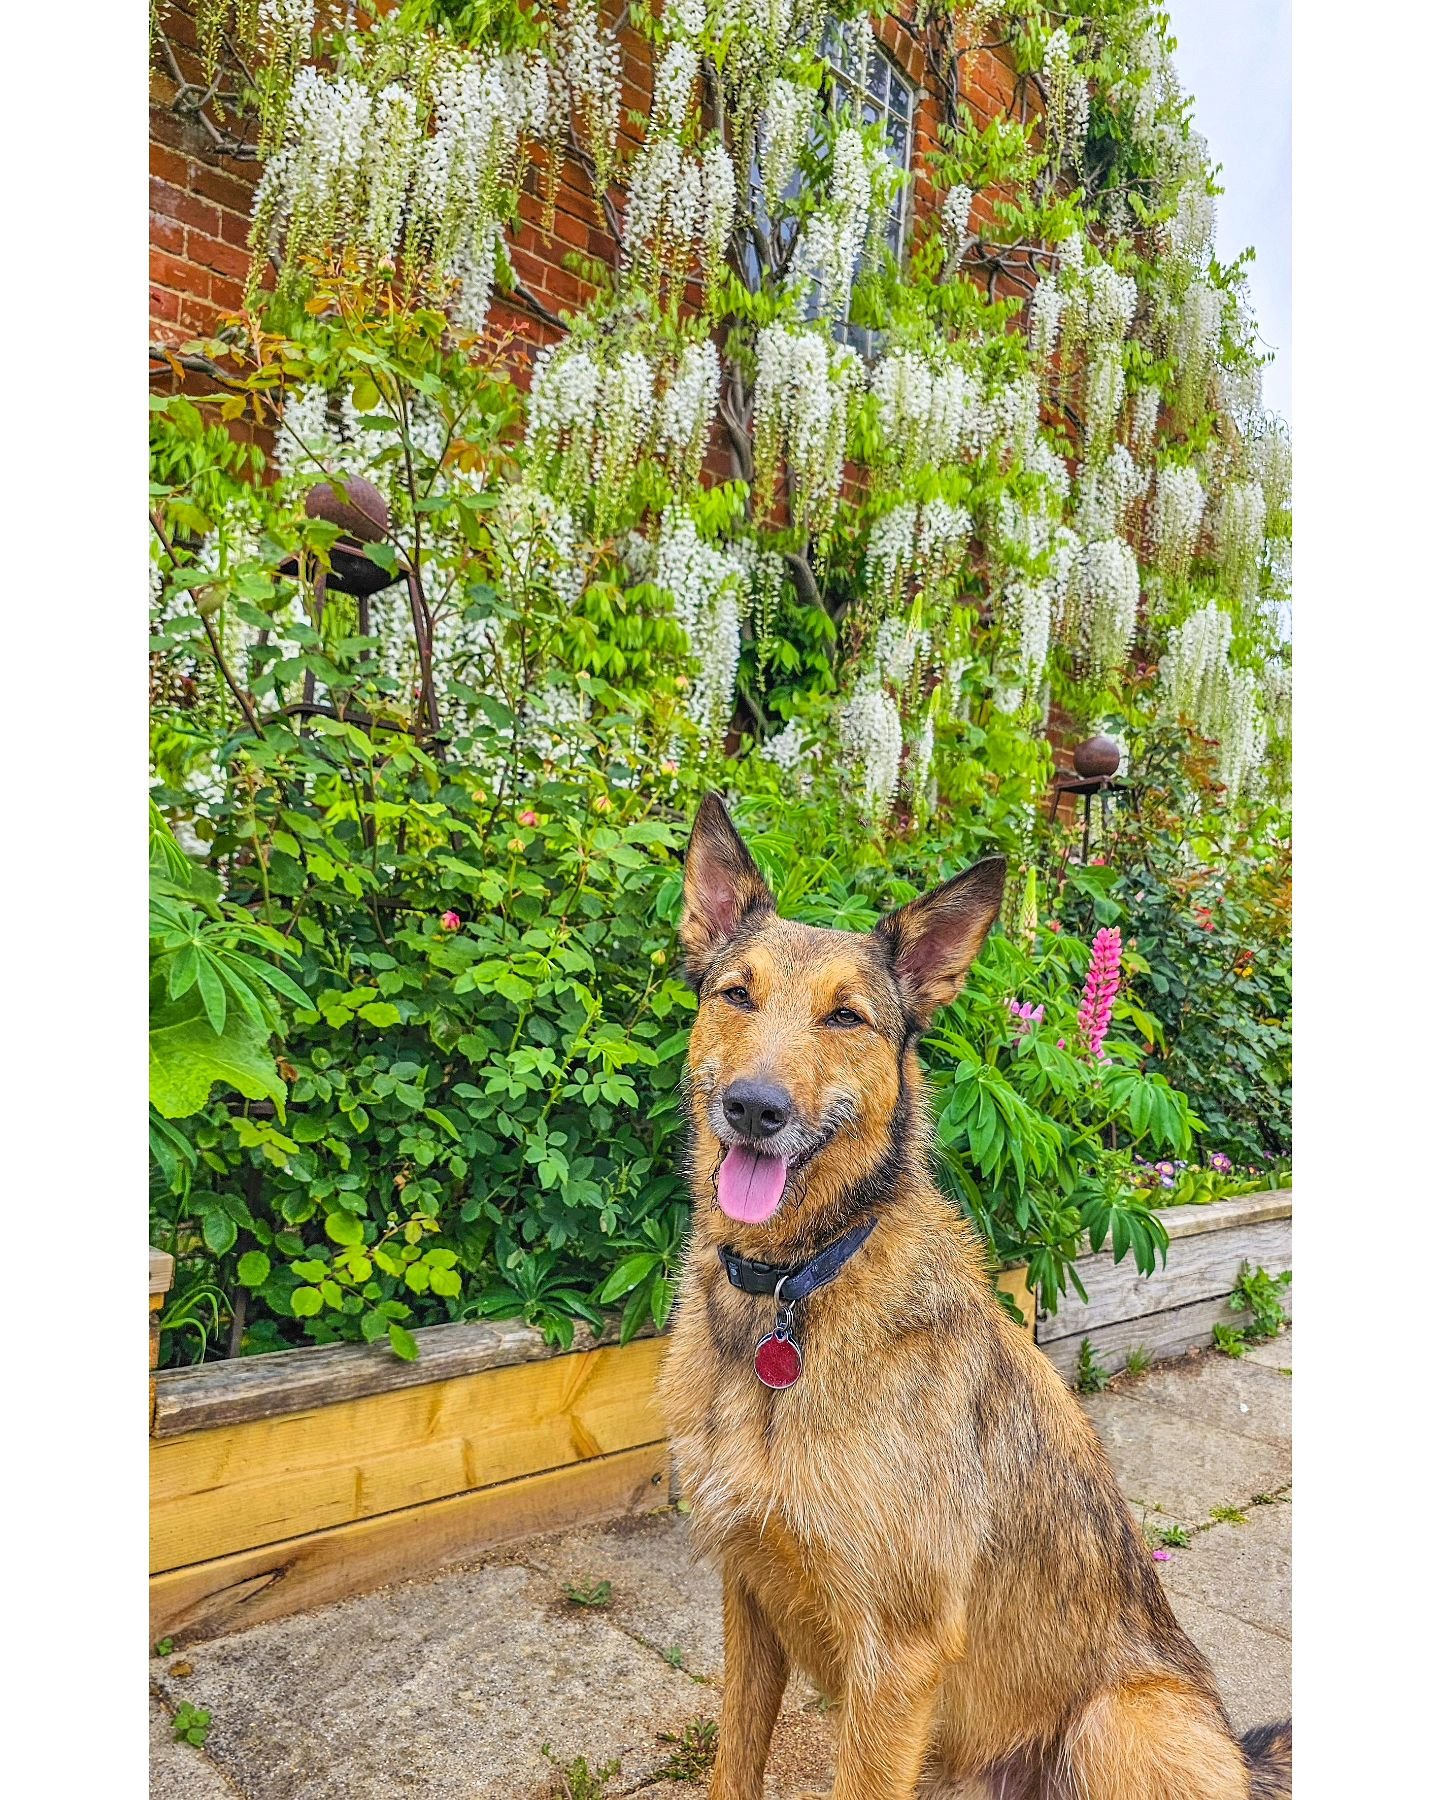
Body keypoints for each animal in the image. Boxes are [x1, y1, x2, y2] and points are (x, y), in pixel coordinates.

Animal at [658, 802, 1288, 1800]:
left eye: (846, 1016)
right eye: (736, 996)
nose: (754, 1109)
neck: (796, 1286)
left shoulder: (898, 1658)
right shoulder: (749, 1598)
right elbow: (733, 1764)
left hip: (1122, 1721)